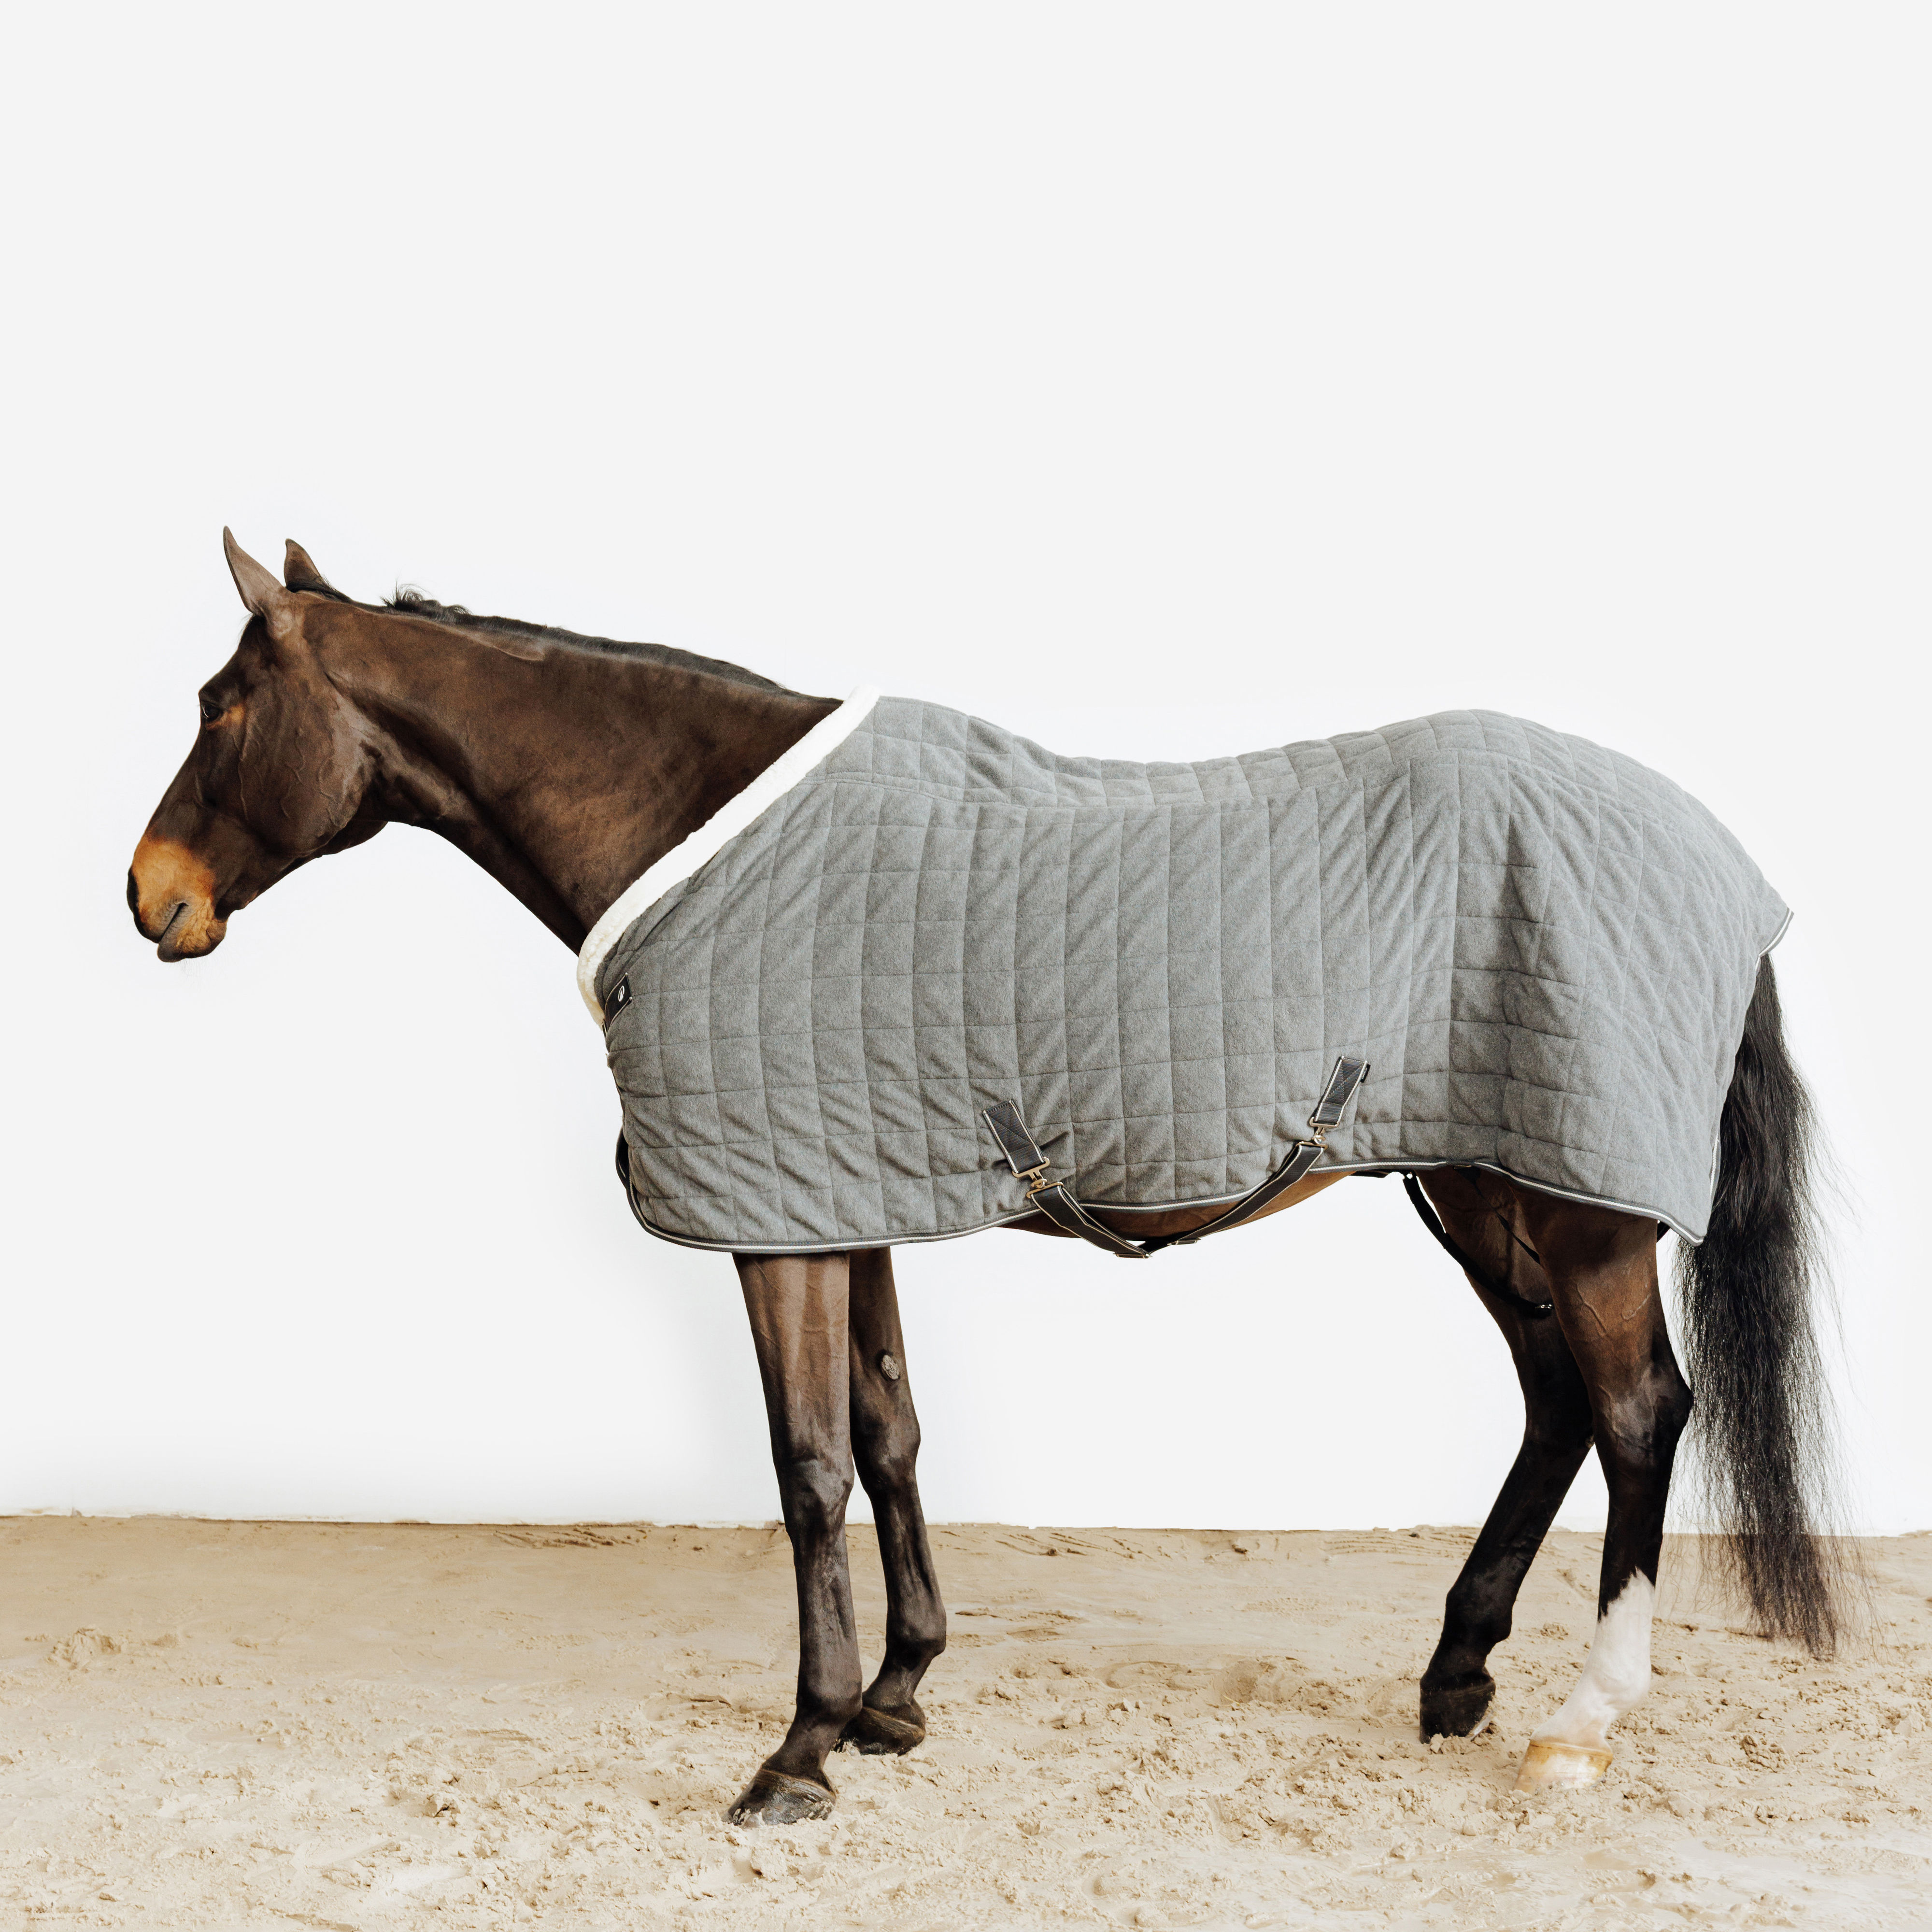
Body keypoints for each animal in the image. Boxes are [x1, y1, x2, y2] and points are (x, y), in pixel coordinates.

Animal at [129, 531, 1847, 1827]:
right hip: (1486, 1186)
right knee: (1557, 1405)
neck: (698, 828)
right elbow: (889, 1433)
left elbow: (807, 1463)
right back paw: (1456, 1678)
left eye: (222, 706)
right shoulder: (841, 1196)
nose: (152, 896)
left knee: (1637, 1416)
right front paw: (897, 1696)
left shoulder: (776, 1227)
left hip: (1581, 1211)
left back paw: (1580, 1721)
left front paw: (801, 1749)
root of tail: (1722, 860)